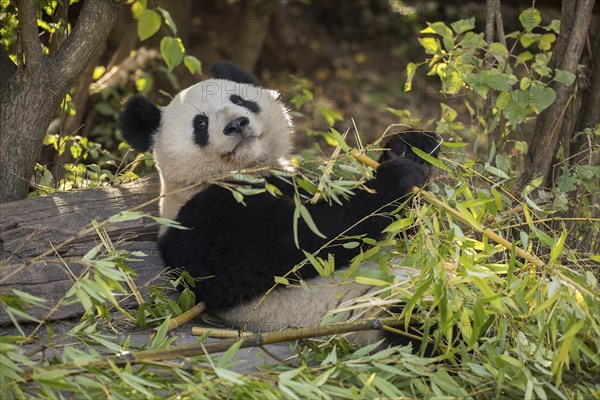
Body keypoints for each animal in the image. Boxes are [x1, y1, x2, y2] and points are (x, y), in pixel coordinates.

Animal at [120, 61, 440, 346]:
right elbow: (305, 241)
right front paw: (397, 176)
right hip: (380, 309)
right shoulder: (205, 219)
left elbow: (405, 230)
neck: (247, 170)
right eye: (200, 123)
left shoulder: (294, 180)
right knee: (425, 324)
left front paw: (411, 145)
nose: (236, 124)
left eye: (240, 100)